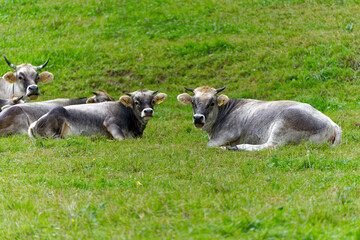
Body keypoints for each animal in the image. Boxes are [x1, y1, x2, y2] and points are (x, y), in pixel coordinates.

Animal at [28, 89, 167, 140]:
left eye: (152, 101)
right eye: (136, 102)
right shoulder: (109, 122)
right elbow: (121, 138)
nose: (148, 111)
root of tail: (33, 124)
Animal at [177, 85, 344, 151]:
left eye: (212, 103)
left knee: (270, 146)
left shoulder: (229, 132)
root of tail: (333, 124)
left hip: (283, 122)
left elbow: (209, 145)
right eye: (193, 102)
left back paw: (237, 147)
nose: (198, 118)